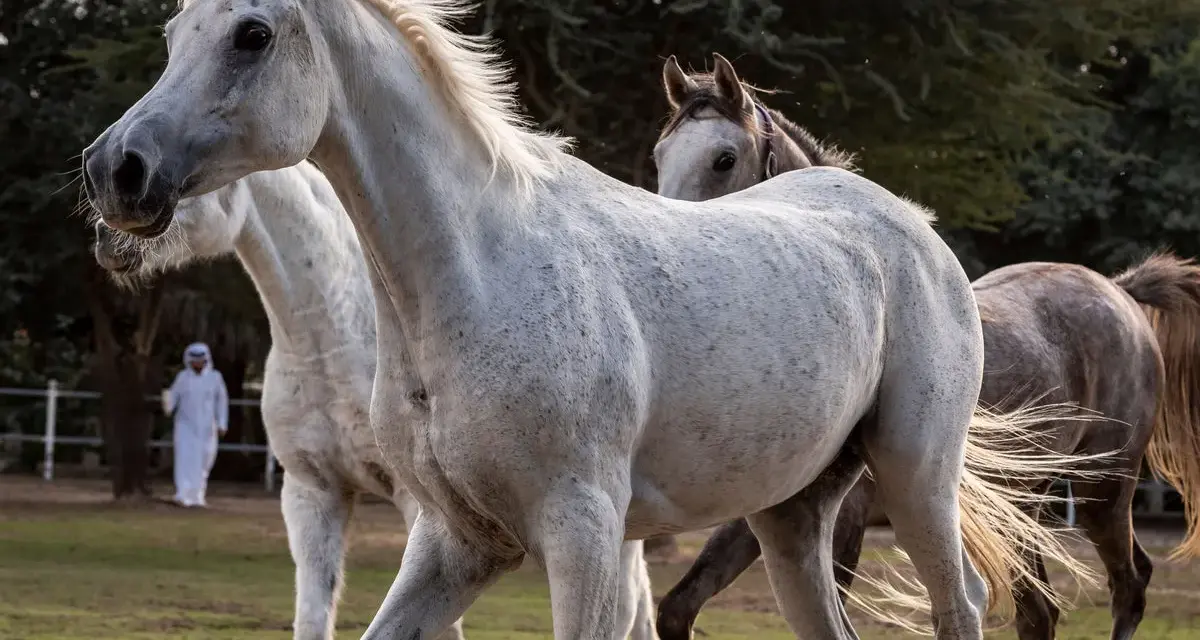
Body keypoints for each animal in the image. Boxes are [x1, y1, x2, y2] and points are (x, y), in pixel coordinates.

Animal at [651, 52, 1200, 640]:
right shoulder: (764, 512)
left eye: (723, 159)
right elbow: (677, 607)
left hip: (1104, 491)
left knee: (1130, 585)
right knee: (1039, 610)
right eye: (661, 155)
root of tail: (1119, 289)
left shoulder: (841, 524)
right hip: (1024, 506)